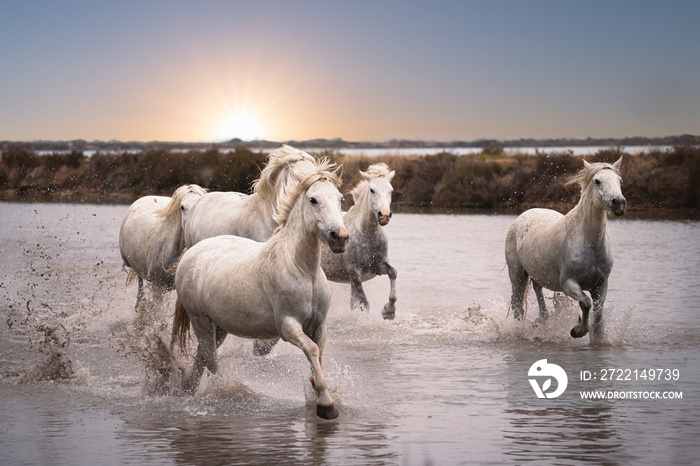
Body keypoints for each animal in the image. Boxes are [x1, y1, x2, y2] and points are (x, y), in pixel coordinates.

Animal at [172, 163, 348, 418]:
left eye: (340, 199)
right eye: (313, 200)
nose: (340, 237)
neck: (303, 269)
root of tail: (191, 253)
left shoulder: (319, 326)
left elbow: (318, 357)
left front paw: (317, 392)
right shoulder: (288, 326)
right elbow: (312, 350)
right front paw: (326, 404)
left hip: (219, 327)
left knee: (202, 356)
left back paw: (187, 388)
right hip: (200, 321)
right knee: (211, 359)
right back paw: (228, 392)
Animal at [322, 163, 400, 320]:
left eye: (391, 190)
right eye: (372, 190)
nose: (384, 216)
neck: (368, 236)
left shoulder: (378, 266)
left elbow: (393, 273)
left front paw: (389, 311)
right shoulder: (355, 273)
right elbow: (363, 303)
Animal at [506, 157, 628, 338]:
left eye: (619, 180)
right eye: (597, 181)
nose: (618, 203)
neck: (590, 244)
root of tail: (522, 215)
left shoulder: (601, 285)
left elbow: (598, 316)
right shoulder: (568, 283)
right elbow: (586, 303)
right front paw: (577, 331)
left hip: (536, 275)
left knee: (538, 295)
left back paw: (541, 323)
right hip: (517, 274)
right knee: (518, 307)